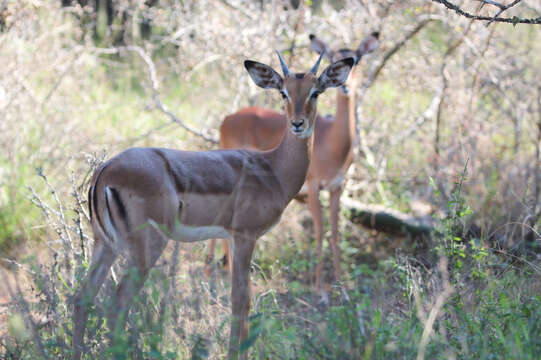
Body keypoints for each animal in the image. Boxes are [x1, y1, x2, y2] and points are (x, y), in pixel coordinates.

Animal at [73, 52, 354, 358]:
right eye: (284, 92)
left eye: (315, 92)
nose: (298, 123)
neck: (273, 169)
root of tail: (104, 171)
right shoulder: (245, 237)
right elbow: (240, 300)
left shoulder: (231, 238)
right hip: (146, 246)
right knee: (118, 303)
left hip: (105, 245)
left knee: (82, 298)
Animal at [208, 31, 380, 296]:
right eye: (283, 93)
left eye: (357, 59)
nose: (346, 87)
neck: (333, 143)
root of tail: (227, 119)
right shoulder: (314, 189)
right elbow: (319, 233)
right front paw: (320, 291)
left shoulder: (336, 188)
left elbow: (335, 234)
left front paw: (341, 287)